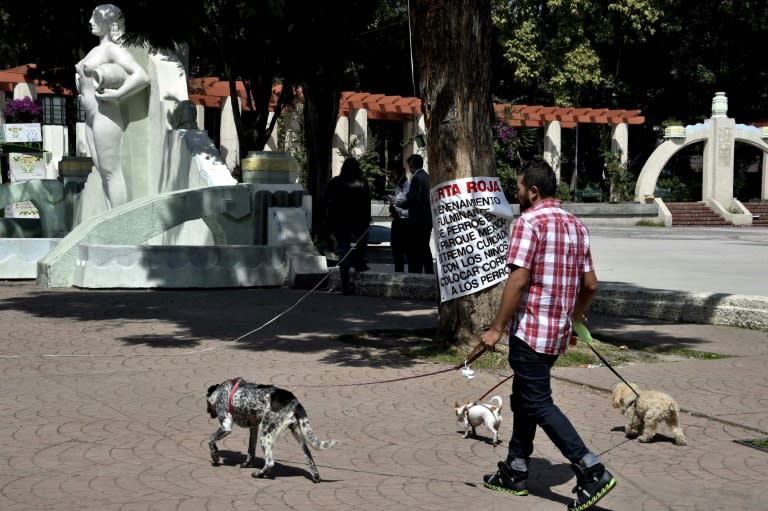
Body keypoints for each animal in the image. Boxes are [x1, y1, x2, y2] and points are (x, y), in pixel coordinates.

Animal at [206, 378, 338, 482]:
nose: (208, 413)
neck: (222, 391)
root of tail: (294, 401)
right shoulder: (253, 428)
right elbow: (250, 450)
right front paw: (247, 463)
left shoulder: (226, 426)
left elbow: (211, 440)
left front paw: (215, 456)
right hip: (297, 432)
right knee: (308, 455)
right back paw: (315, 476)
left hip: (265, 435)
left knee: (270, 463)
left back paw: (259, 474)